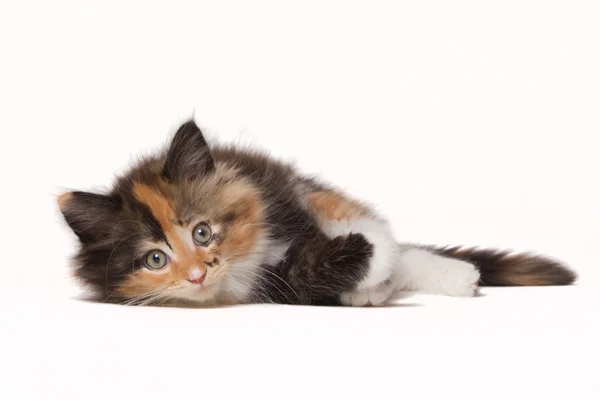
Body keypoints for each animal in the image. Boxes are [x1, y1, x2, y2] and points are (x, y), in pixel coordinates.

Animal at [57, 119, 576, 306]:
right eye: (155, 259)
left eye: (202, 232)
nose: (198, 274)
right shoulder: (283, 284)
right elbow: (317, 268)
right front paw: (368, 275)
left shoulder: (285, 190)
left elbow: (374, 232)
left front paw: (379, 258)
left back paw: (457, 276)